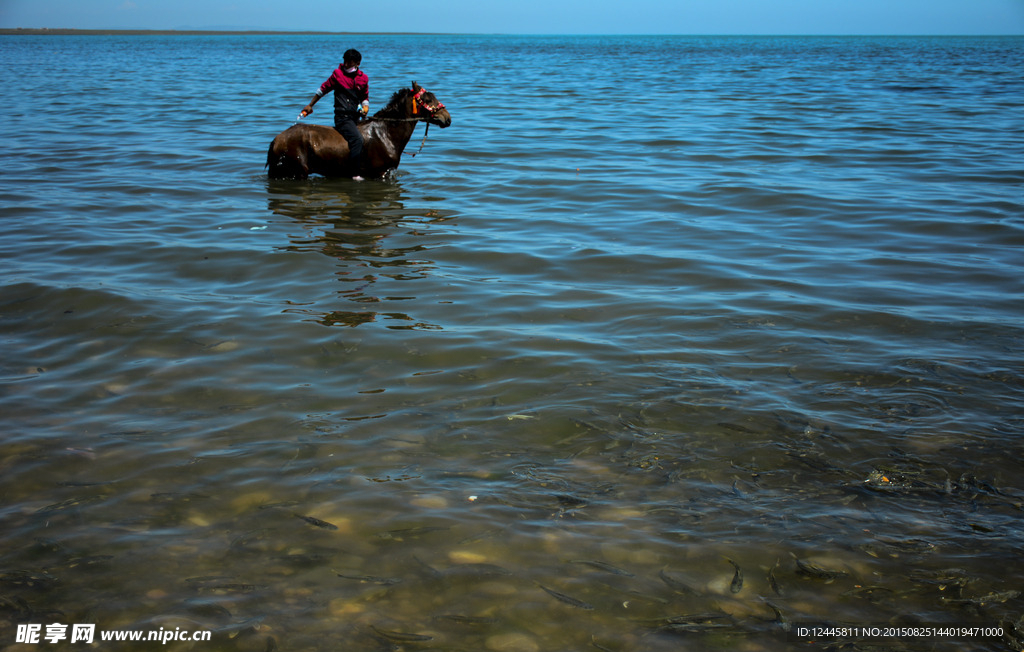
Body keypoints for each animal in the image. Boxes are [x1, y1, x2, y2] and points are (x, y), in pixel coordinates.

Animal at [268, 83, 452, 180]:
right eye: (428, 99)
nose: (447, 118)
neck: (386, 133)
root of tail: (276, 139)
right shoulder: (379, 173)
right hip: (297, 172)